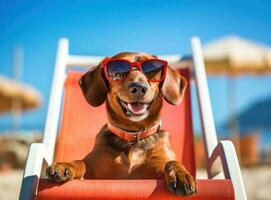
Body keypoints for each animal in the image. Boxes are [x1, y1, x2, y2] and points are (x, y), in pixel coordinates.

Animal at [47, 51, 198, 195]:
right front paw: (65, 165)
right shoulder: (93, 171)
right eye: (118, 72)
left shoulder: (160, 163)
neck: (133, 136)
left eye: (152, 70)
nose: (139, 87)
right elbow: (80, 162)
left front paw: (181, 174)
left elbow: (172, 162)